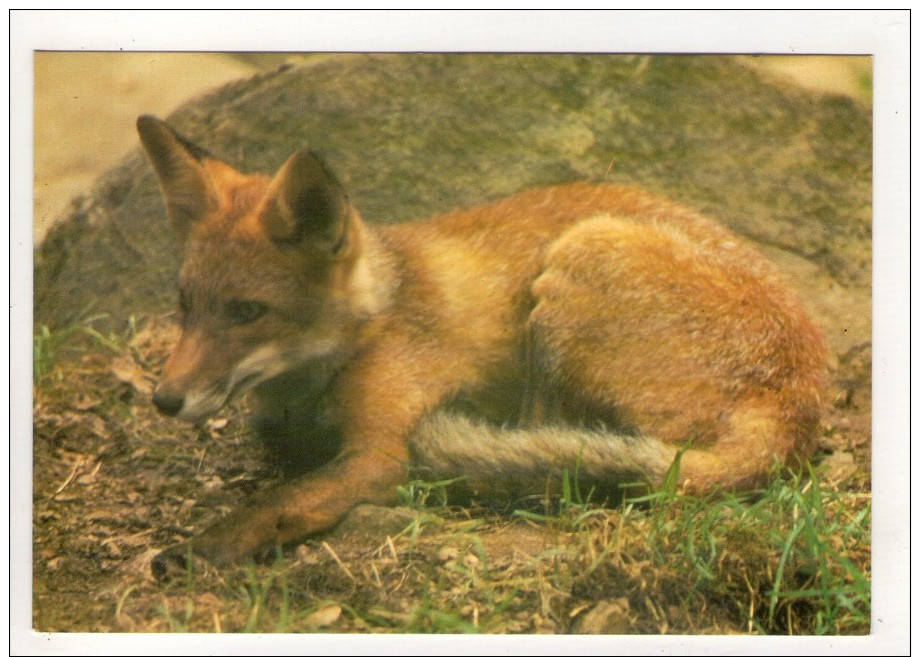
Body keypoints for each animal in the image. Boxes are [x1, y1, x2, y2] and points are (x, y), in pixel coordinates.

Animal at [140, 115, 832, 576]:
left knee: (551, 454)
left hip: (572, 268)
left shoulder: (379, 455)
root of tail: (798, 396)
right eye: (186, 305)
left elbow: (280, 500)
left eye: (248, 312)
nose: (164, 401)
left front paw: (205, 545)